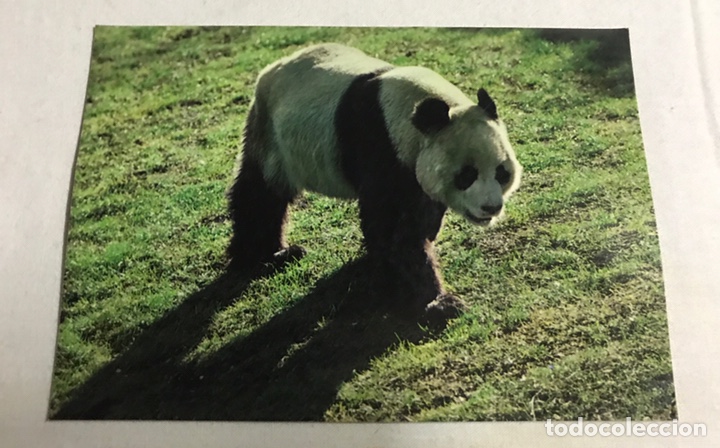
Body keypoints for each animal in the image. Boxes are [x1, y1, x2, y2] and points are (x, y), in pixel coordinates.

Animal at [227, 43, 521, 324]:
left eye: (501, 173)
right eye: (467, 175)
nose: (491, 208)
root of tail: (273, 67)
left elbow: (421, 214)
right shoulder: (381, 146)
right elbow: (394, 232)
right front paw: (436, 303)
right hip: (271, 134)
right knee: (260, 193)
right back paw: (265, 256)